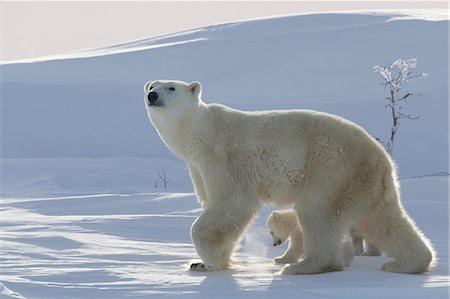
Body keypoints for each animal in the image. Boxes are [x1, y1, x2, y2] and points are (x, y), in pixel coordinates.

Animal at [142, 80, 434, 276]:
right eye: (153, 84)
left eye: (171, 87)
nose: (151, 94)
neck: (202, 133)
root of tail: (382, 158)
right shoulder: (197, 167)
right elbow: (218, 209)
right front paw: (202, 263)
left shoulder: (224, 159)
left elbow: (230, 205)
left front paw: (210, 260)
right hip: (361, 182)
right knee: (384, 220)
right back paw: (407, 263)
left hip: (331, 166)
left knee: (317, 211)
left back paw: (304, 266)